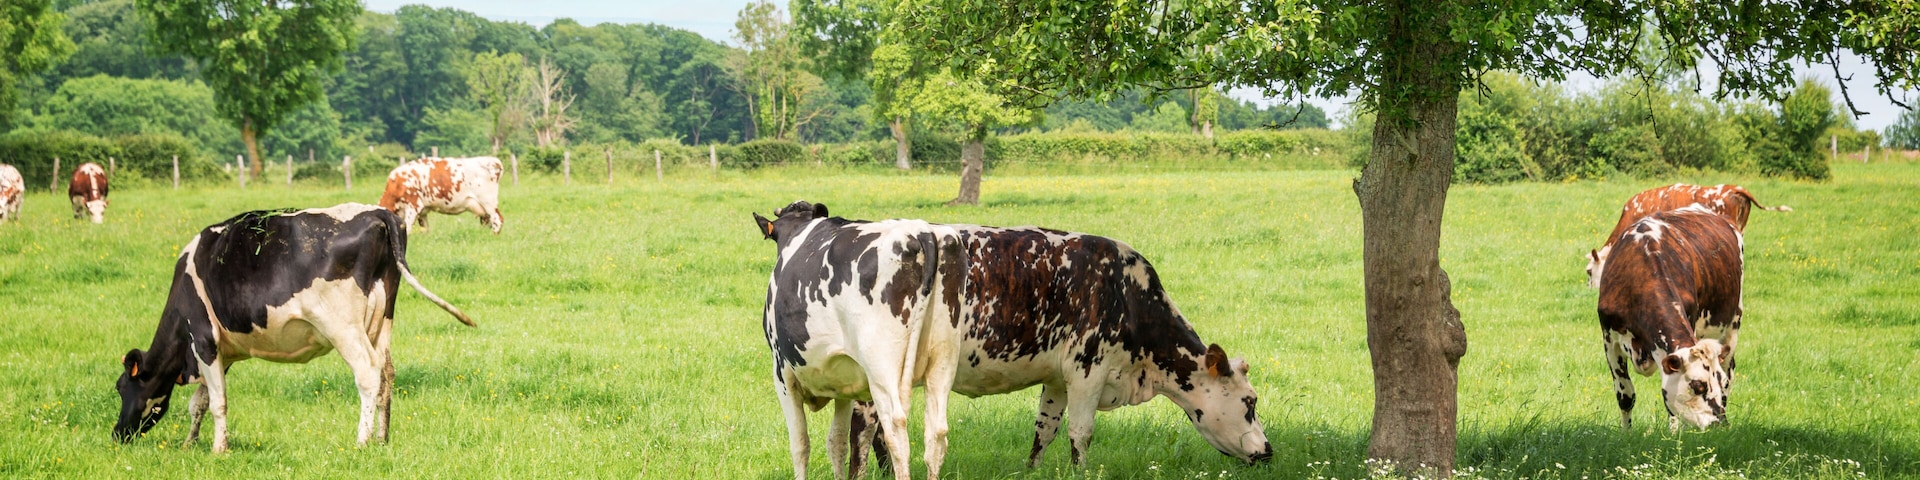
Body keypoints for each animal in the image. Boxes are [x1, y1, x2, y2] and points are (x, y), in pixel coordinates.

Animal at [113, 203, 476, 453]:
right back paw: (381, 438)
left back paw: (362, 441)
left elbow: (217, 402)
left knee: (368, 373)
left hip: (343, 325)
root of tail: (377, 213)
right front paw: (190, 442)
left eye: (120, 387)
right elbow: (200, 402)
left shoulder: (203, 338)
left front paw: (218, 449)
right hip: (382, 320)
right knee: (387, 372)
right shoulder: (221, 352)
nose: (117, 434)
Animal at [754, 201, 1271, 480]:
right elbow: (1081, 435)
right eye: (1250, 402)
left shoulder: (1058, 379)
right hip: (874, 376)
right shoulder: (1087, 369)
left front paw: (1032, 471)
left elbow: (1044, 431)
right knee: (869, 437)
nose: (1267, 451)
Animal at [1596, 206, 1742, 431]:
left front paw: (1673, 434)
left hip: (1733, 323)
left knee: (1730, 368)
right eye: (1698, 385)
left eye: (1718, 382)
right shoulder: (1609, 339)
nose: (1717, 424)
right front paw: (1626, 432)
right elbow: (1625, 395)